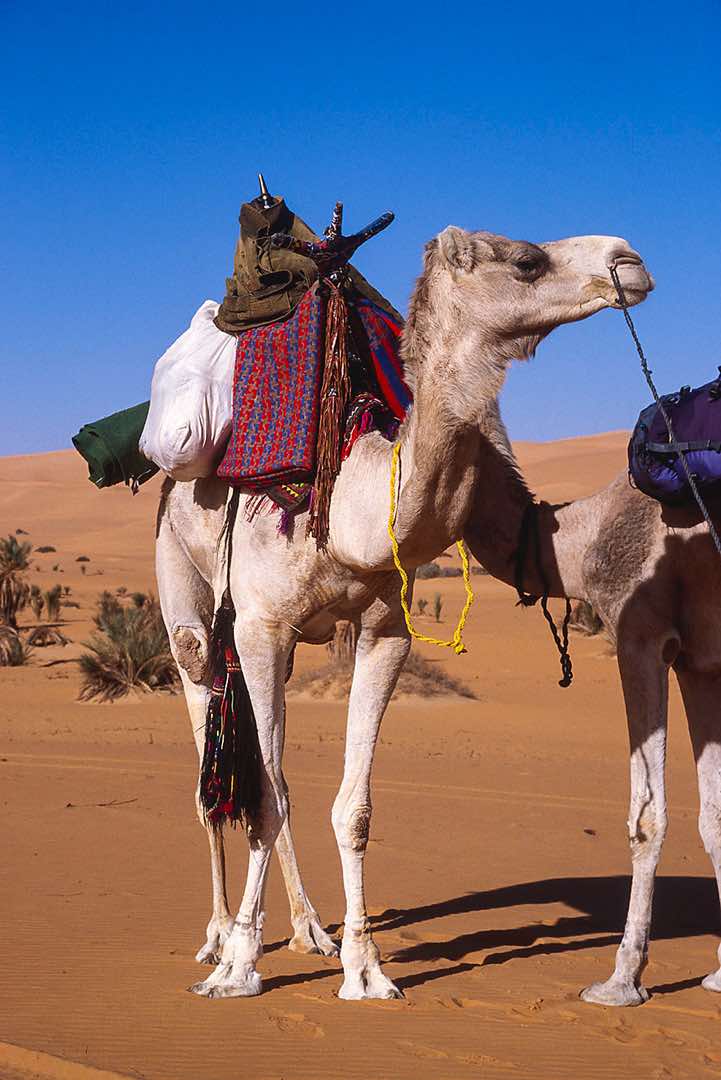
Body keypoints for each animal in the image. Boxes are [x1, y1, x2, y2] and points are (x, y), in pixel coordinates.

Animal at [156, 224, 653, 999]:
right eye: (526, 260)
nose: (628, 259)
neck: (348, 505)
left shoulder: (383, 630)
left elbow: (349, 806)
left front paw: (365, 970)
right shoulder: (260, 628)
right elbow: (261, 797)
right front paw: (239, 966)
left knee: (275, 783)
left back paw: (310, 931)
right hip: (189, 605)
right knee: (214, 767)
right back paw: (217, 937)